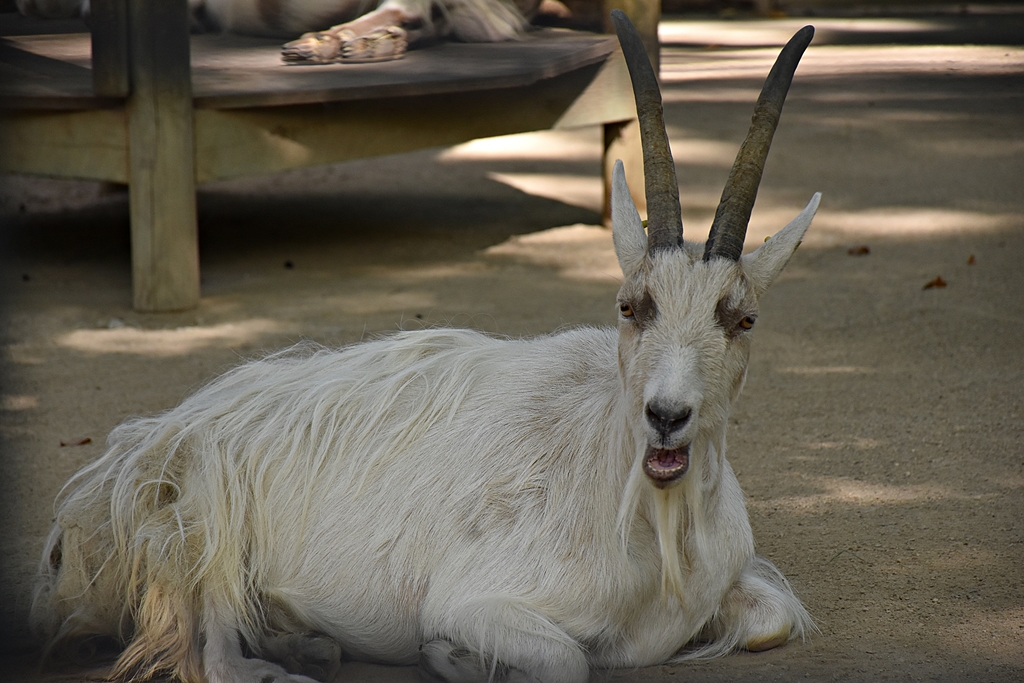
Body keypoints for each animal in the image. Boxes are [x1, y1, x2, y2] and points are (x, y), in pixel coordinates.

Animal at [31, 12, 821, 683]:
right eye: (630, 307)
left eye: (742, 319)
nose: (666, 417)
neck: (648, 523)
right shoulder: (476, 598)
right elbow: (568, 659)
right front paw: (449, 656)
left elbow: (772, 620)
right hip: (199, 517)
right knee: (214, 651)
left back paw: (305, 639)